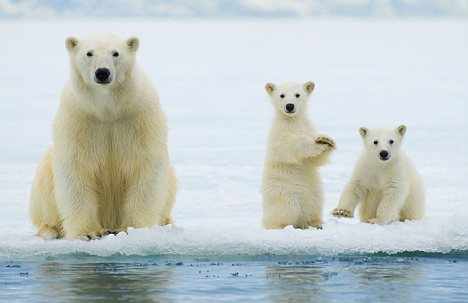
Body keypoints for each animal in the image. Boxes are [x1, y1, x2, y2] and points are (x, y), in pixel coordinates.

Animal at [28, 34, 177, 240]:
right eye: (89, 53)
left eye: (116, 53)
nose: (102, 73)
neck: (107, 111)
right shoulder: (79, 120)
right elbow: (76, 170)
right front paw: (88, 232)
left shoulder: (138, 119)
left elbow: (144, 168)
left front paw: (134, 229)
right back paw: (50, 230)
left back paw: (165, 222)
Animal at [262, 82, 334, 229]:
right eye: (282, 95)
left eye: (297, 94)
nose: (290, 106)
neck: (293, 121)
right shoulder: (279, 133)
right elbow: (291, 146)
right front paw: (316, 144)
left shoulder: (308, 127)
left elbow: (315, 161)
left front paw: (326, 140)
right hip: (284, 192)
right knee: (288, 209)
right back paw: (282, 225)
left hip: (315, 190)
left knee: (314, 204)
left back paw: (316, 223)